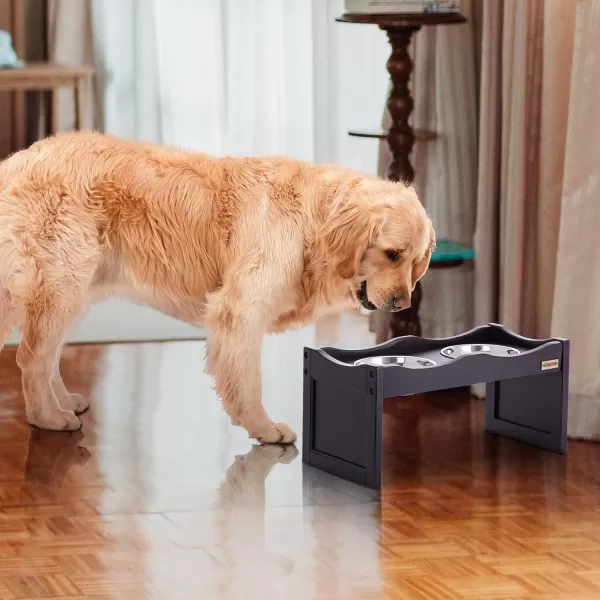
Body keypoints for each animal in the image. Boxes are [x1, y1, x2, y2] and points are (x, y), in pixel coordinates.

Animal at [0, 136, 434, 442]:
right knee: (31, 356)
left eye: (416, 263)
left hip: (74, 290)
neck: (314, 223)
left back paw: (64, 403)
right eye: (392, 254)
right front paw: (264, 429)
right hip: (63, 283)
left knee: (48, 356)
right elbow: (248, 380)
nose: (401, 304)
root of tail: (17, 161)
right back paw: (48, 418)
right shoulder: (242, 309)